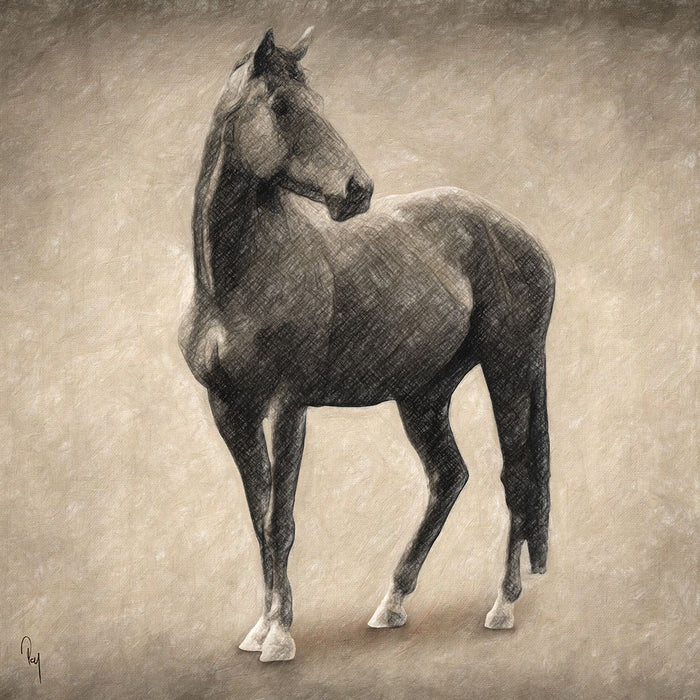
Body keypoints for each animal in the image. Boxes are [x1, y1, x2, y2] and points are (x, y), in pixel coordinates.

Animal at [179, 27, 555, 662]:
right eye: (282, 106)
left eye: (318, 103)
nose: (358, 190)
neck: (236, 282)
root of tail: (523, 238)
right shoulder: (230, 409)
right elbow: (259, 517)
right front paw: (260, 627)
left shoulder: (287, 406)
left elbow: (281, 520)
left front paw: (280, 634)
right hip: (424, 395)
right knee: (449, 477)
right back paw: (393, 602)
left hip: (509, 369)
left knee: (516, 477)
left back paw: (501, 606)